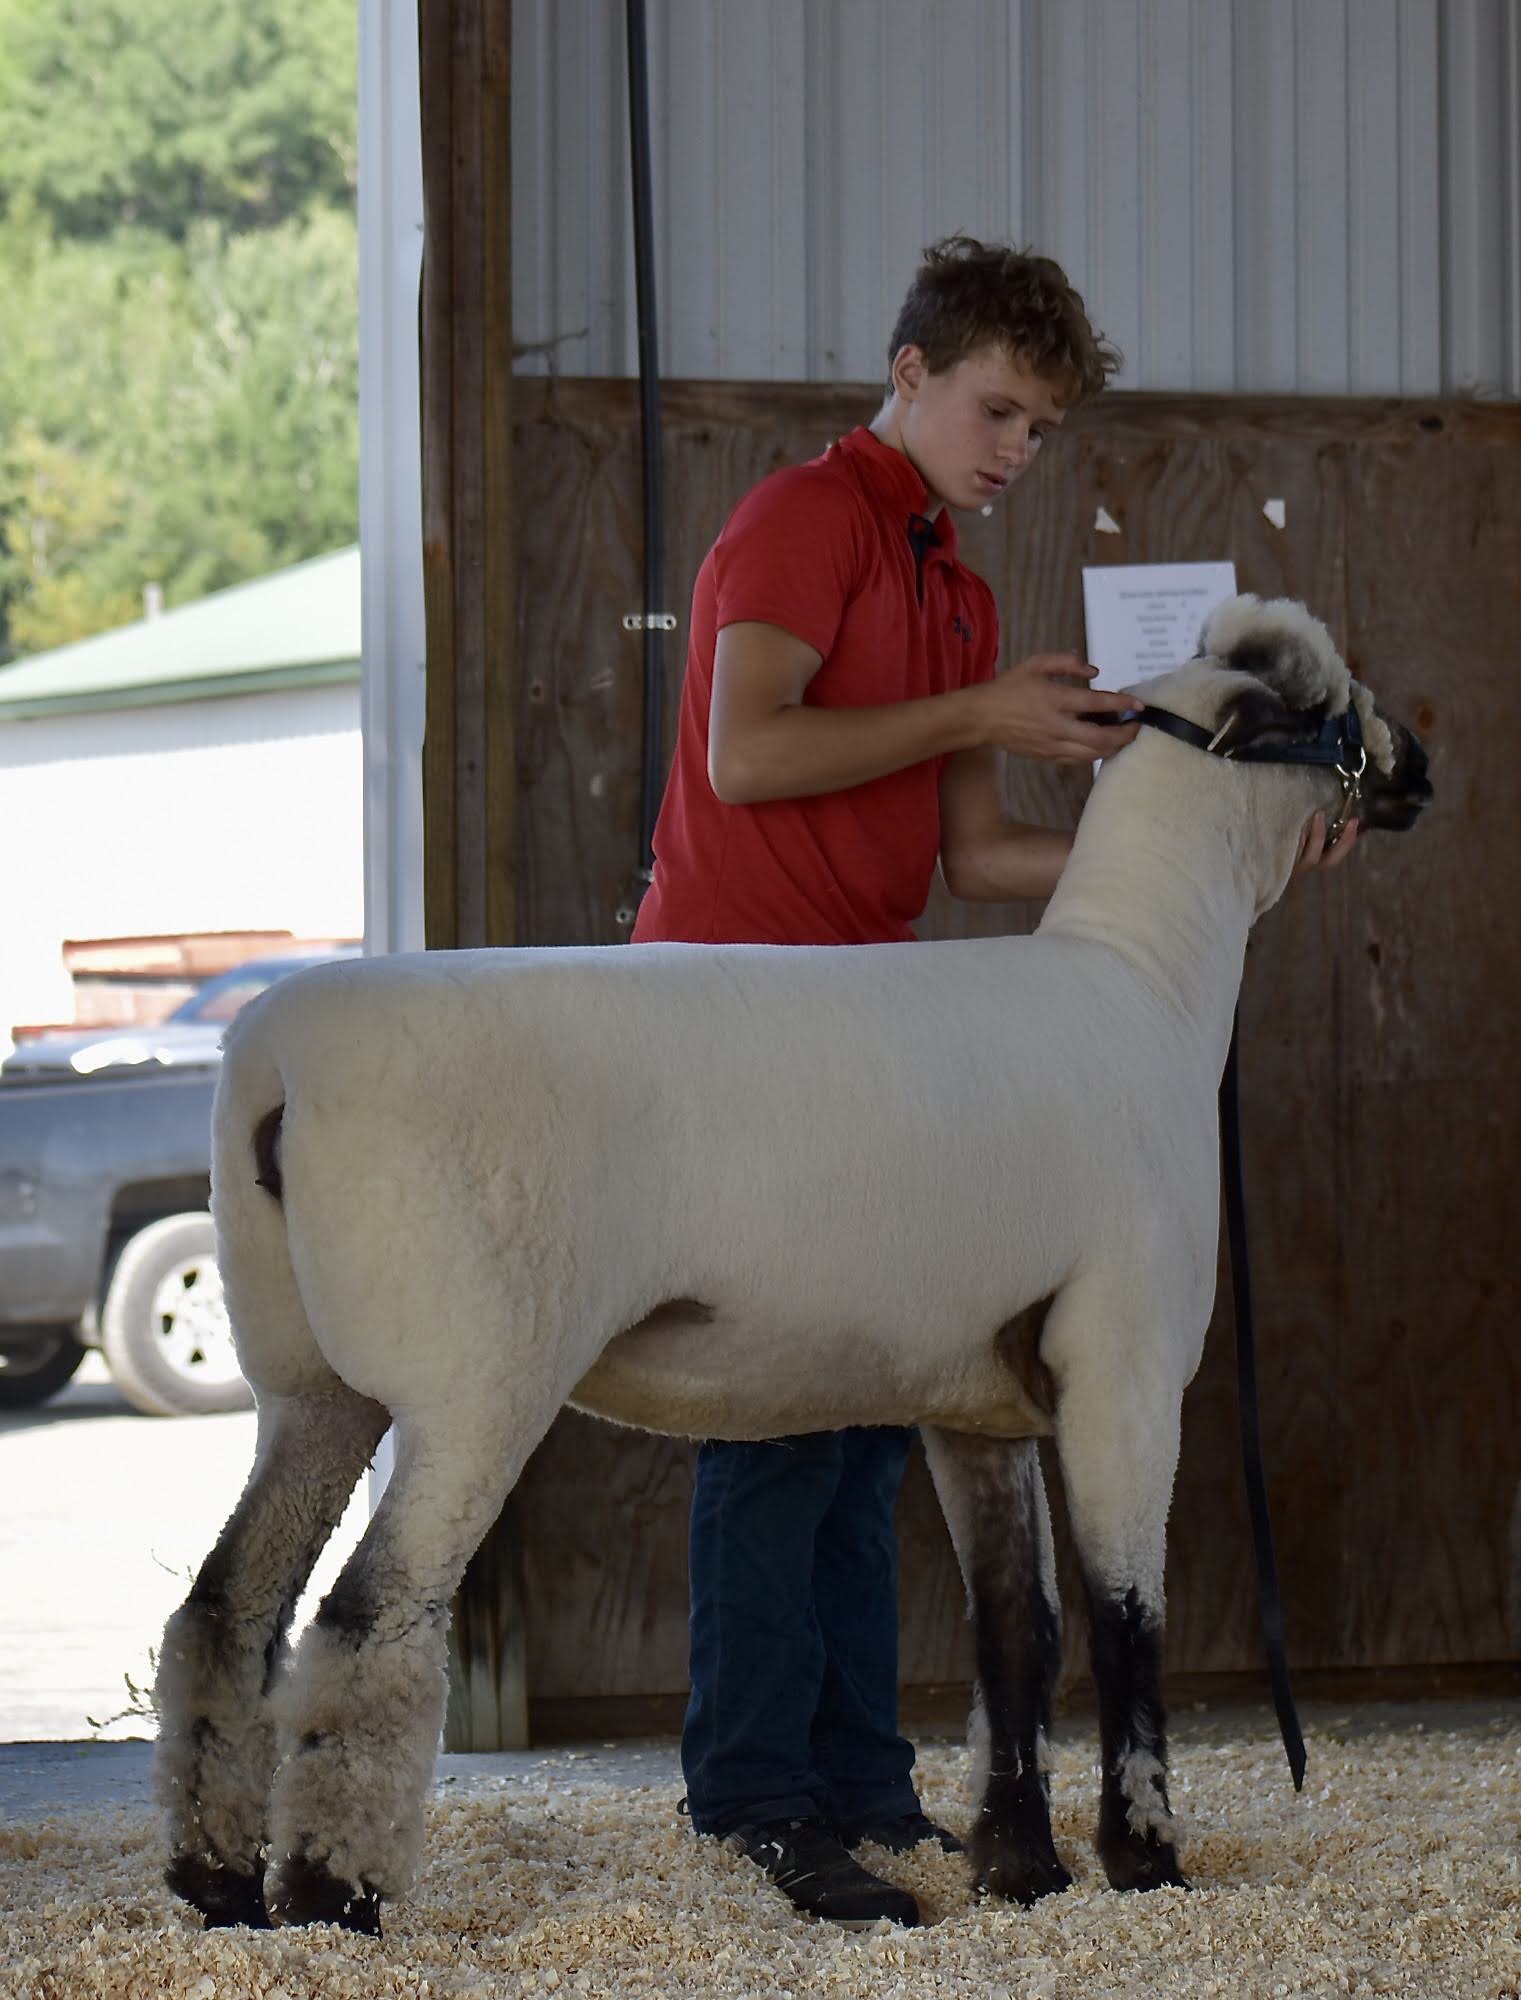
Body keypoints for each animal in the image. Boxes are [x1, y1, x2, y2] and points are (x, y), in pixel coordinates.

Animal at [154, 595, 1431, 1935]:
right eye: (1335, 705)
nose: (1424, 768)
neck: (1150, 980)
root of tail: (275, 1069)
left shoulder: (976, 1395)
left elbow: (1016, 1633)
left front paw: (1020, 1866)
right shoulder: (1124, 1363)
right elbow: (1129, 1620)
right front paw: (1144, 1858)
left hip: (304, 1375)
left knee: (225, 1607)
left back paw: (217, 1880)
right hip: (470, 1375)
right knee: (365, 1621)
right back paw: (329, 1897)